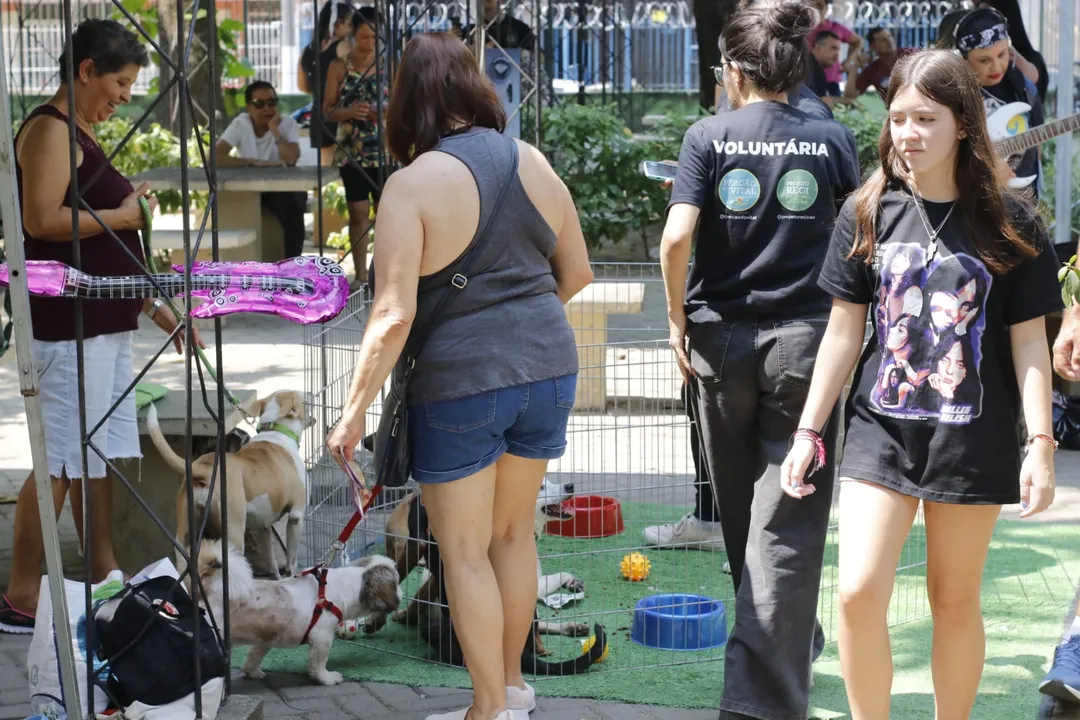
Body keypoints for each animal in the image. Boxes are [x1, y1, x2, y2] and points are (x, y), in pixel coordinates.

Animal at [145, 388, 313, 578]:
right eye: (303, 399)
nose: (310, 393)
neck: (278, 429)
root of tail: (203, 469)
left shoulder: (263, 526)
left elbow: (272, 562)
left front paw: (277, 578)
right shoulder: (296, 516)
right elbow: (292, 558)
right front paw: (292, 575)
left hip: (185, 534)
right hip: (233, 531)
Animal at [196, 539, 403, 686]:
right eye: (397, 582)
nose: (401, 592)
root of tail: (212, 590)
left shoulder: (266, 638)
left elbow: (255, 655)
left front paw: (252, 672)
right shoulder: (322, 638)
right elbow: (318, 664)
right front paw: (327, 678)